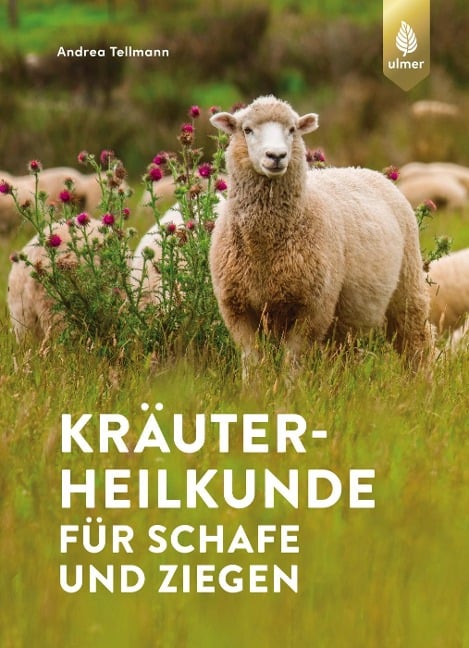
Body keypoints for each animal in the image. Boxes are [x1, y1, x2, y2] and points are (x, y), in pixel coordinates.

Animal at [209, 95, 432, 376]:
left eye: (292, 129)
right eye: (247, 130)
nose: (277, 156)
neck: (264, 250)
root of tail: (365, 170)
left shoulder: (312, 309)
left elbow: (292, 362)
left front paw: (289, 387)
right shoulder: (236, 308)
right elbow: (253, 361)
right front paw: (254, 387)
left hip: (407, 284)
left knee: (416, 339)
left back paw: (421, 381)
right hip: (347, 316)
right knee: (345, 353)